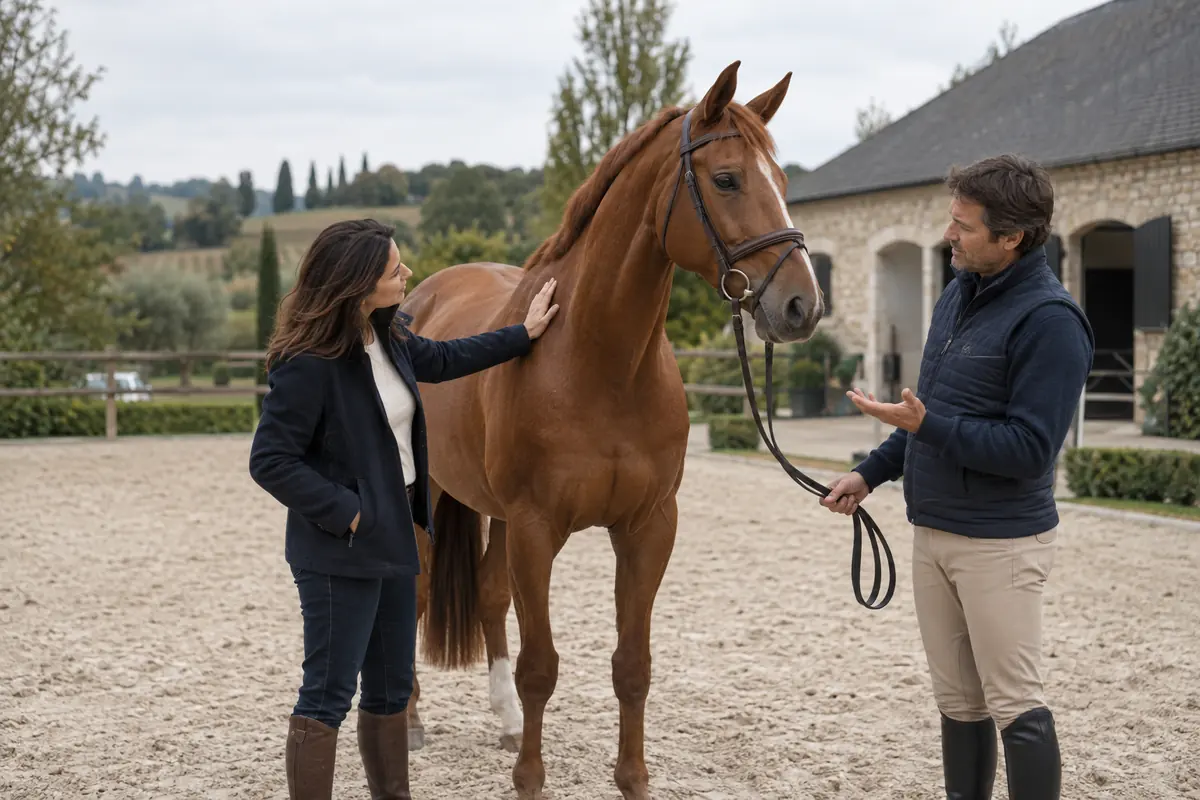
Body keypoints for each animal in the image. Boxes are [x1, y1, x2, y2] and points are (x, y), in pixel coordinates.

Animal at [400, 60, 824, 800]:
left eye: (782, 181)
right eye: (727, 180)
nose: (801, 305)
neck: (601, 364)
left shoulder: (648, 527)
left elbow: (633, 665)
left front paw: (632, 779)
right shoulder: (537, 528)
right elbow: (542, 666)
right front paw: (530, 780)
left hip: (497, 514)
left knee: (488, 595)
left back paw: (504, 721)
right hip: (438, 501)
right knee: (422, 593)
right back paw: (414, 722)